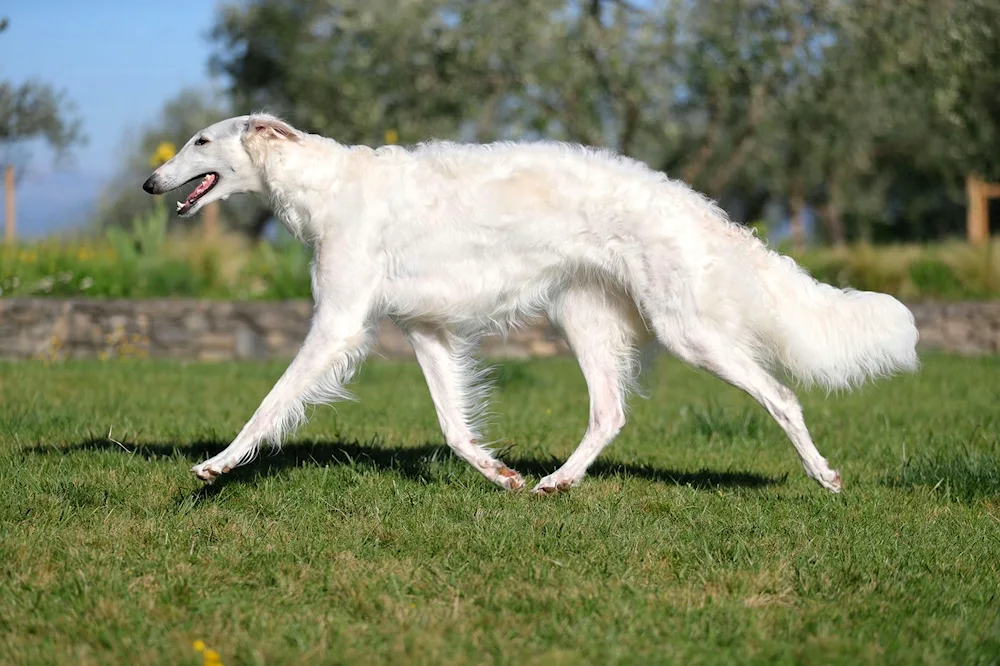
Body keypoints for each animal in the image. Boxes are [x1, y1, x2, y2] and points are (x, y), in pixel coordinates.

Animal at [143, 115, 920, 492]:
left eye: (201, 140)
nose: (151, 183)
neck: (326, 185)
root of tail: (695, 206)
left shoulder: (337, 322)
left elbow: (271, 402)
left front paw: (216, 467)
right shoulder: (426, 329)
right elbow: (456, 429)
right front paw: (501, 475)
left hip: (688, 329)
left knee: (781, 396)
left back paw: (826, 477)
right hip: (585, 317)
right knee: (609, 413)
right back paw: (556, 482)